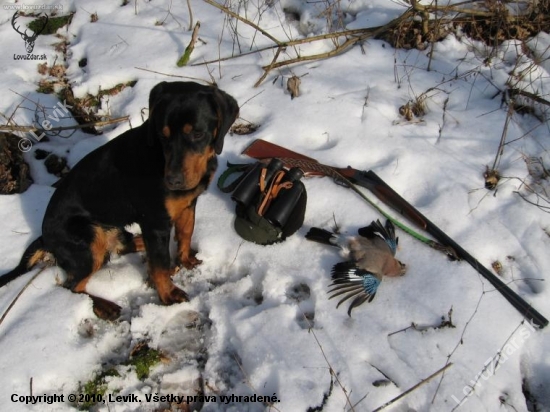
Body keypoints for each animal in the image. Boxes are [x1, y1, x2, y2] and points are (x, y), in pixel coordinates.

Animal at [1, 80, 240, 318]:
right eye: (162, 135)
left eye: (198, 134)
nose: (173, 181)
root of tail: (44, 237)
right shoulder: (155, 221)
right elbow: (161, 264)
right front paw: (169, 295)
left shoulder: (188, 205)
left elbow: (185, 234)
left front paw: (186, 260)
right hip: (88, 240)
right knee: (72, 286)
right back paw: (103, 305)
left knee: (117, 248)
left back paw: (137, 242)